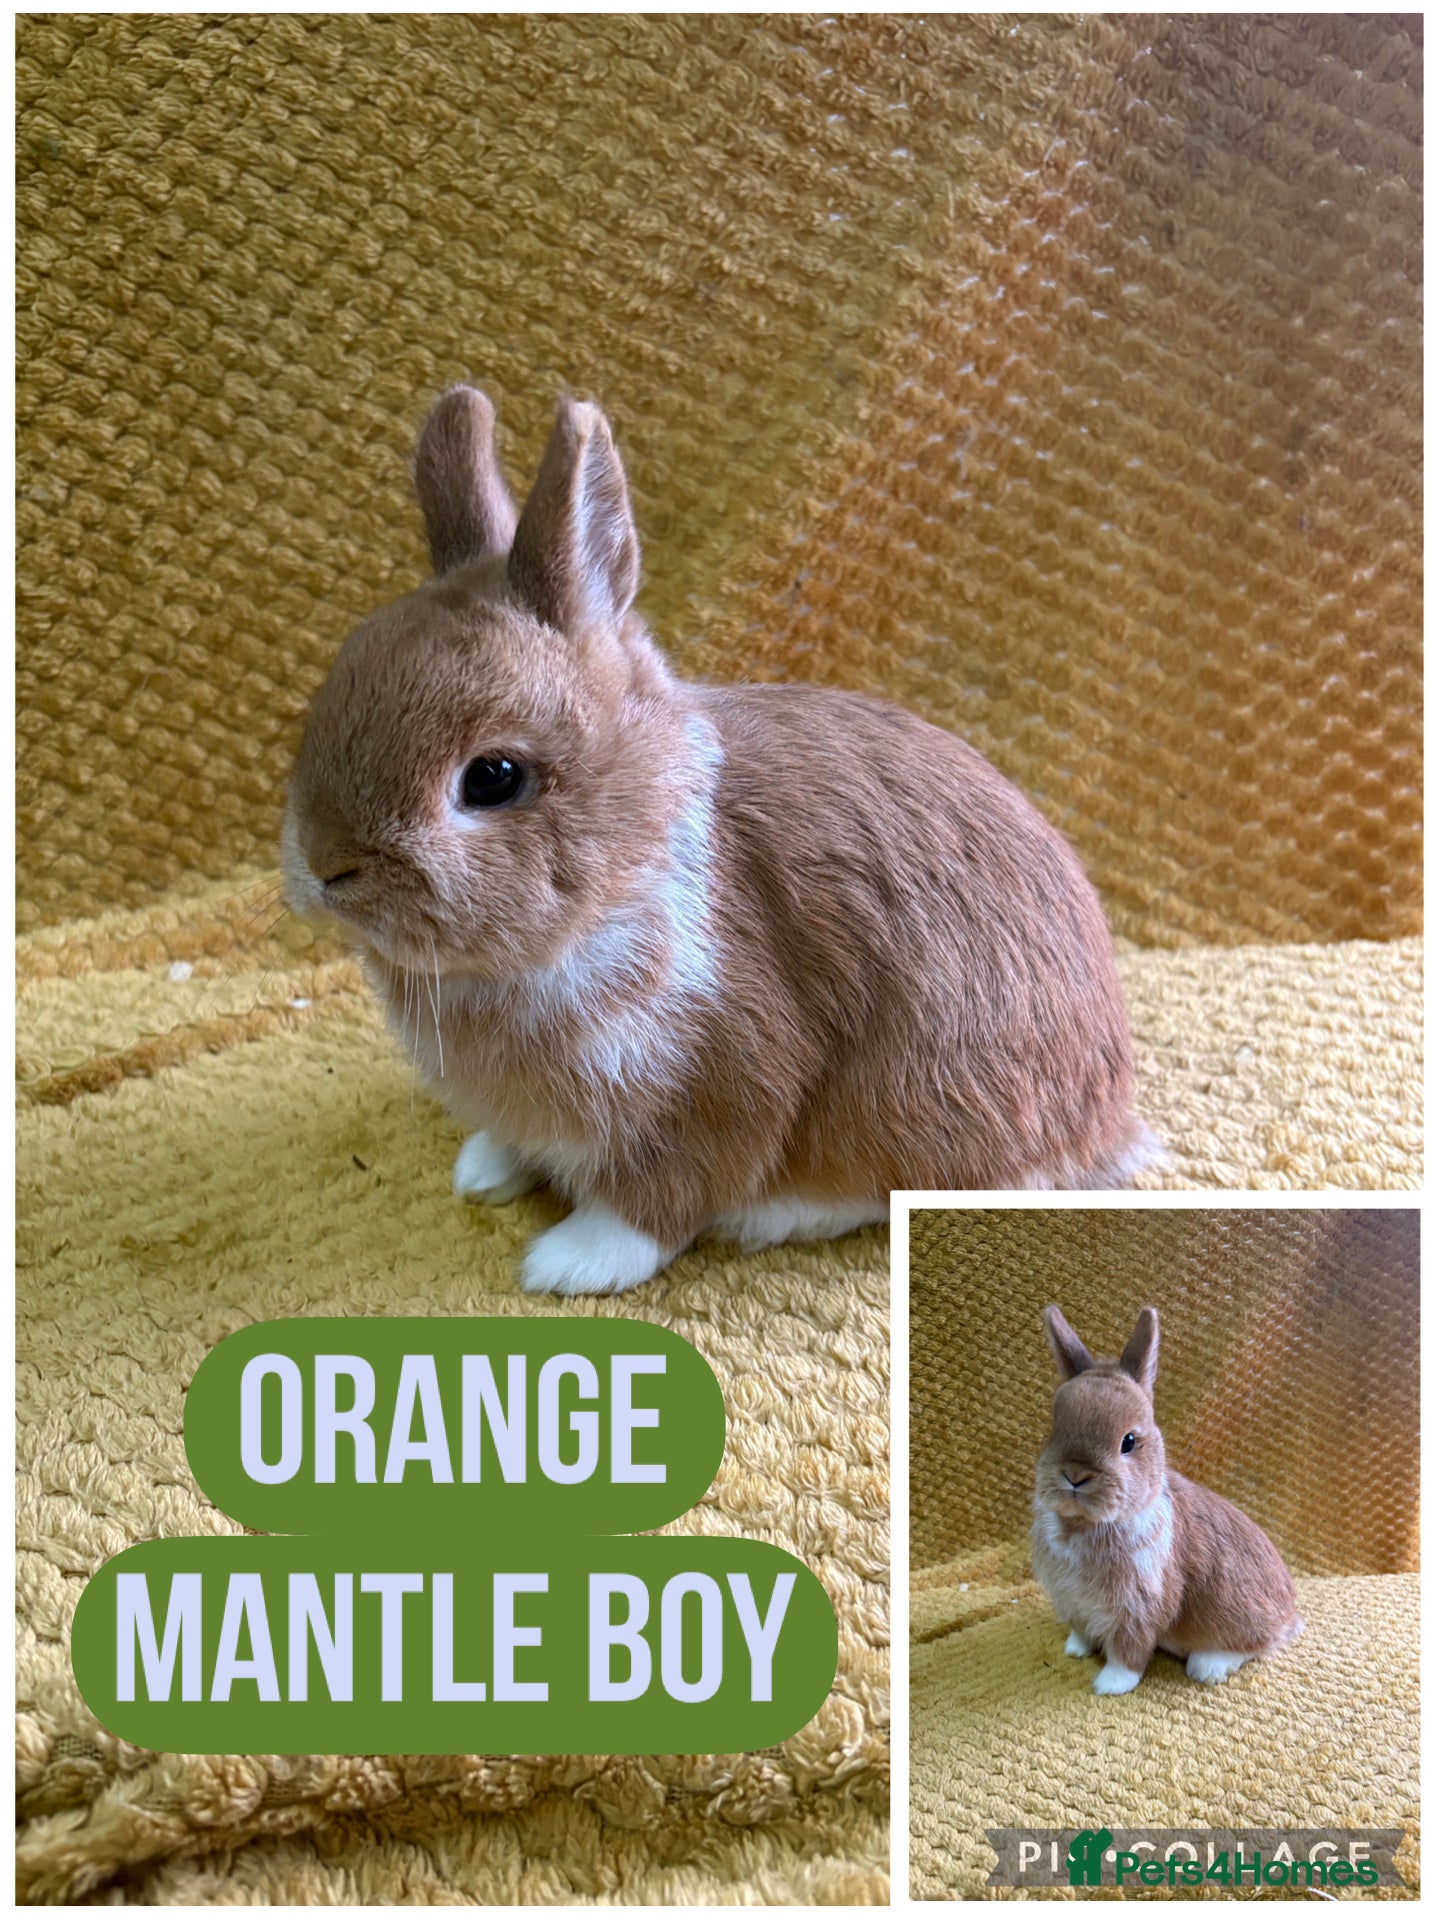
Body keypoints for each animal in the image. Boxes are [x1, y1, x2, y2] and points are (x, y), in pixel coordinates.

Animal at [283, 383, 1159, 1295]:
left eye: (492, 776)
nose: (324, 868)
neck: (632, 856)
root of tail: (1108, 1121)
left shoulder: (721, 1071)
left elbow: (659, 1198)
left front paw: (565, 1264)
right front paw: (484, 1172)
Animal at [1032, 1304, 1303, 1694]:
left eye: (1128, 1441)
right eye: (1054, 1429)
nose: (1075, 1475)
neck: (1083, 1523)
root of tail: (1291, 1616)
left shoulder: (1139, 1607)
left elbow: (1128, 1651)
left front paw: (1110, 1685)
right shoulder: (1075, 1603)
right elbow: (1082, 1631)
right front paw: (1074, 1651)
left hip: (1238, 1611)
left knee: (1255, 1644)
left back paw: (1207, 1667)